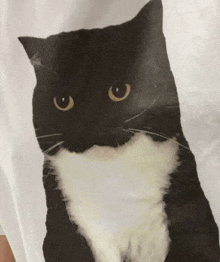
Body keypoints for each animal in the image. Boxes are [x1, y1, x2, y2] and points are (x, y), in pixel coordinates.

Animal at [18, 0, 219, 262]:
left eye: (119, 91)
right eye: (63, 102)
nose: (91, 123)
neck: (113, 178)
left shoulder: (192, 220)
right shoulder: (65, 231)